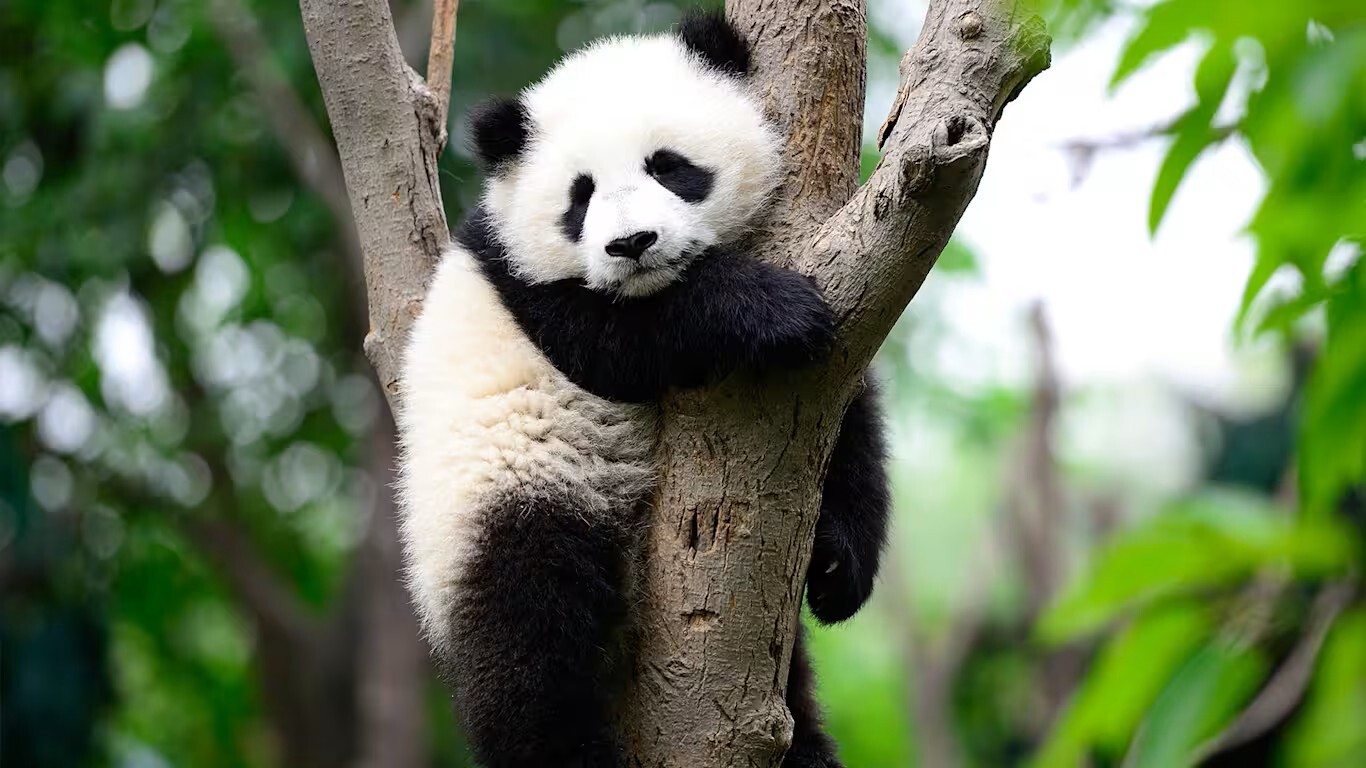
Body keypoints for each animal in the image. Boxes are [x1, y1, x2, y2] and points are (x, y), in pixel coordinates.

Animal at [396, 9, 891, 768]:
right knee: (530, 635)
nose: (632, 244)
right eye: (580, 197)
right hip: (501, 496)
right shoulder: (529, 289)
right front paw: (773, 310)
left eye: (669, 166)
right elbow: (623, 343)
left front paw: (838, 565)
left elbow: (846, 416)